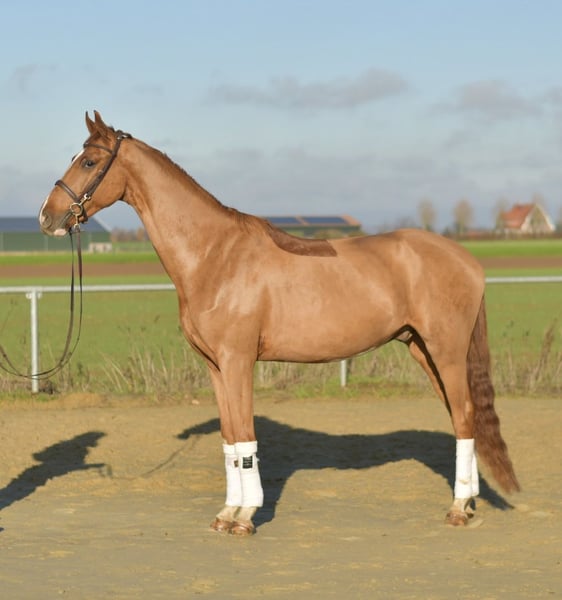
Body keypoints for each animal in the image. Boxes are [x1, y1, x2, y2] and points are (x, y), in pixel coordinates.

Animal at [39, 111, 519, 536]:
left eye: (88, 161)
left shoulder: (238, 362)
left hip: (446, 351)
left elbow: (246, 437)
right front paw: (226, 514)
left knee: (464, 415)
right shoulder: (215, 367)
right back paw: (468, 503)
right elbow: (230, 439)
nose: (47, 216)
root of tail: (467, 260)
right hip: (422, 348)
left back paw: (458, 509)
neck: (215, 253)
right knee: (461, 417)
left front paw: (246, 517)